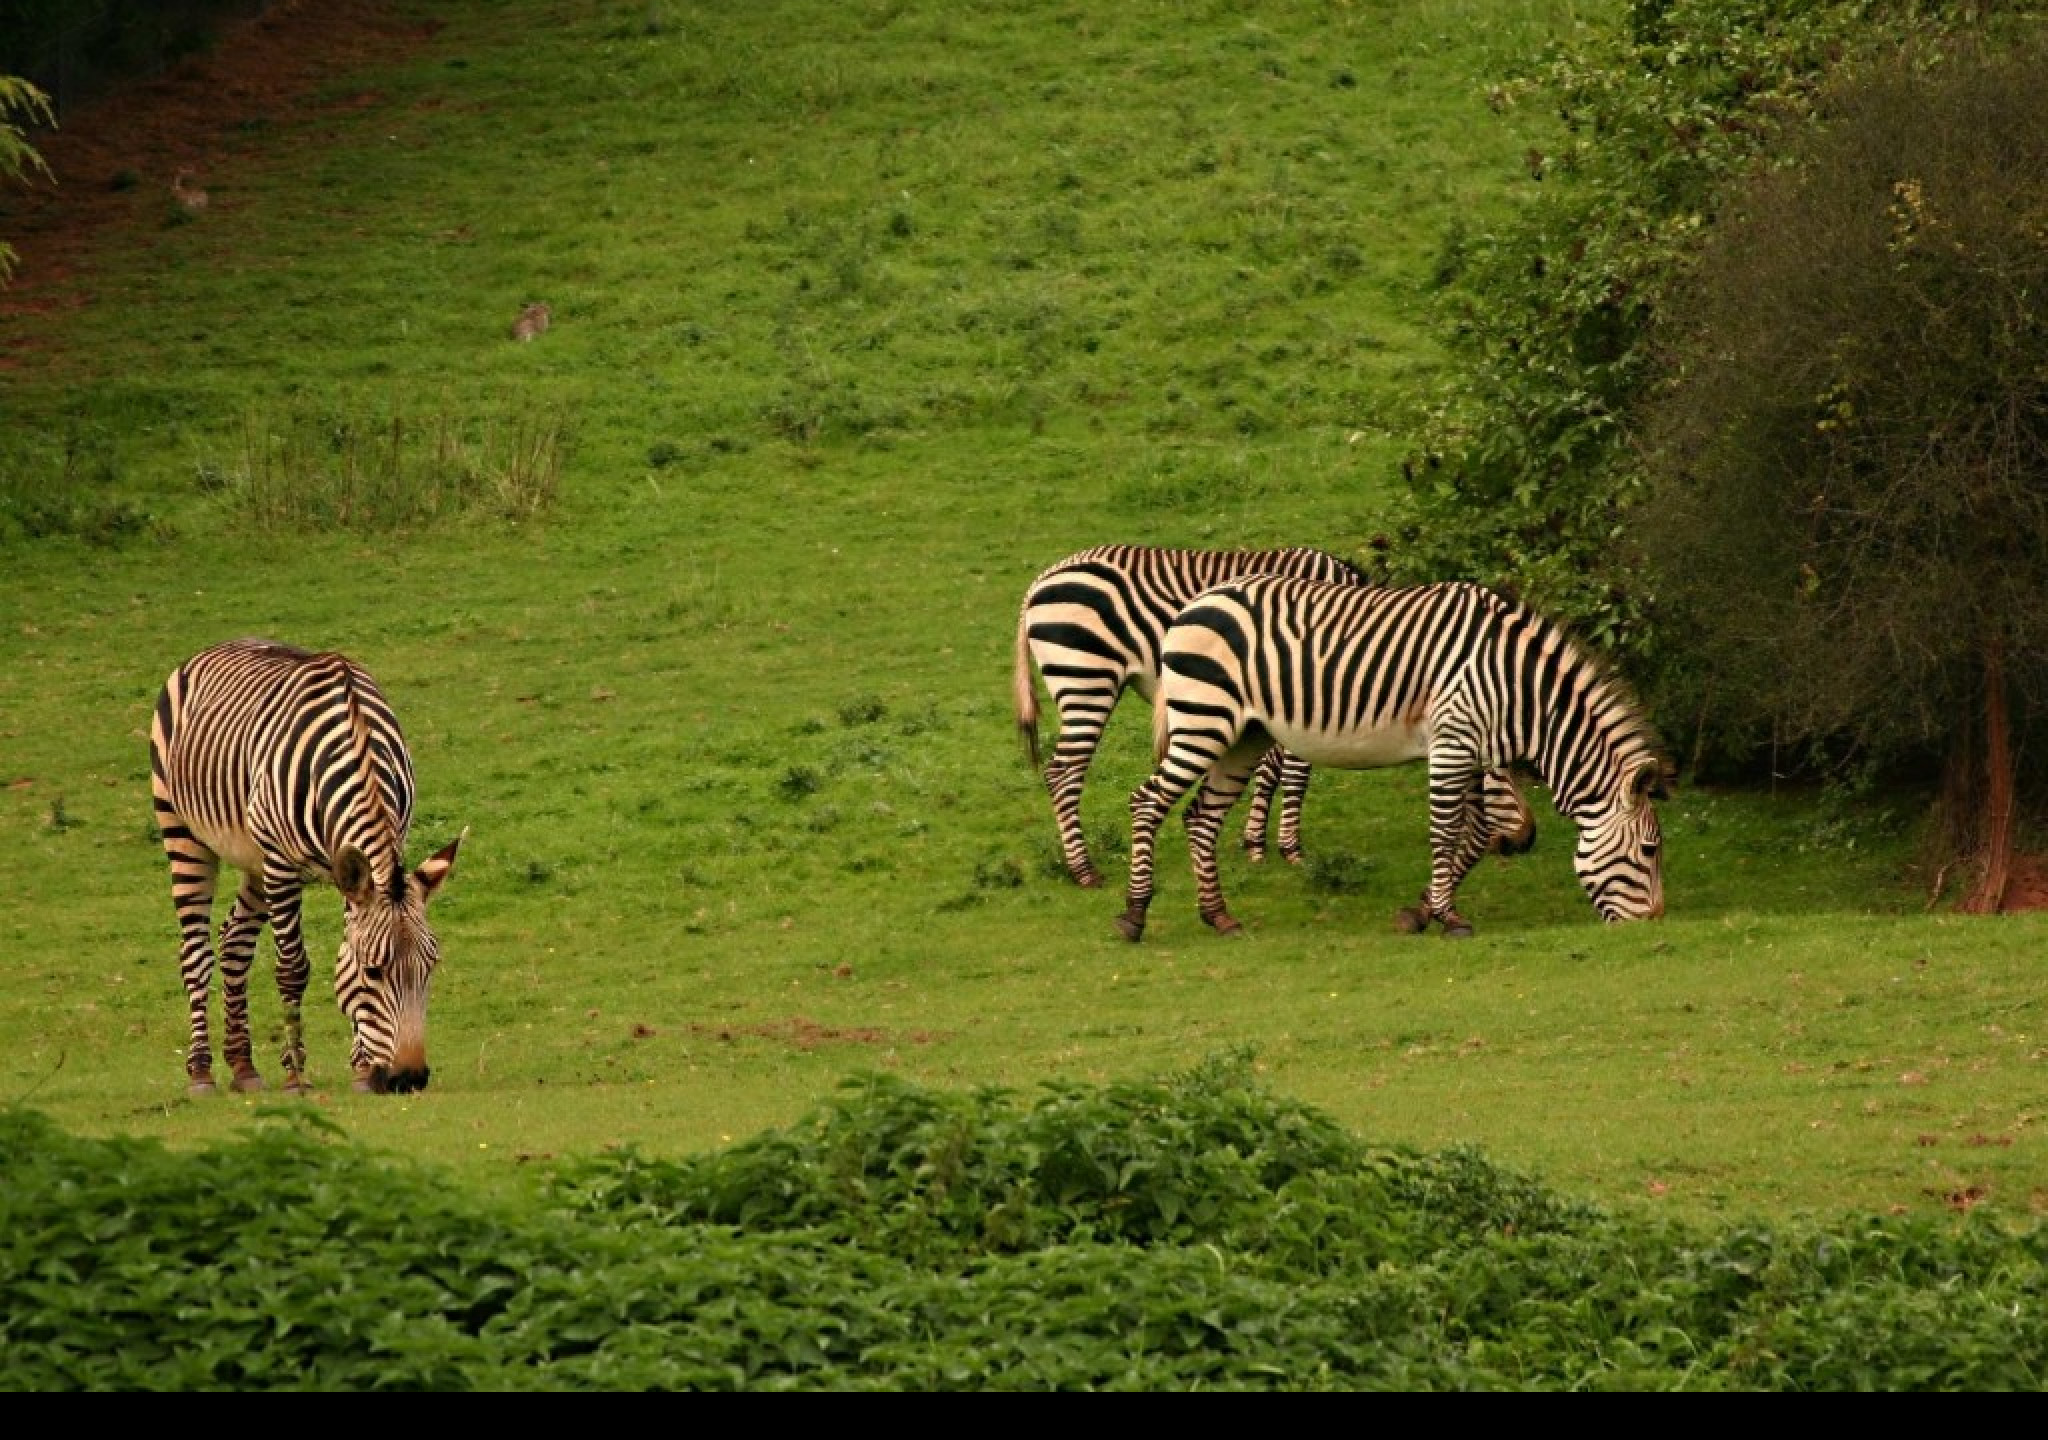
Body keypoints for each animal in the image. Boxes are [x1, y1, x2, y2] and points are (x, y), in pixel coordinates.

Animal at [149, 634, 464, 1097]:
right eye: (374, 972)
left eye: (431, 967)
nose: (409, 1079)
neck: (357, 744)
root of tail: (216, 647)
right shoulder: (282, 864)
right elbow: (292, 969)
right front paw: (296, 1075)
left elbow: (342, 957)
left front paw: (361, 1069)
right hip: (183, 830)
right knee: (196, 954)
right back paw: (201, 1072)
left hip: (254, 858)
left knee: (234, 942)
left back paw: (243, 1067)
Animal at [1015, 544, 1531, 888]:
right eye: (1501, 774)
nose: (1523, 844)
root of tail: (1040, 580)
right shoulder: (1306, 687)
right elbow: (1295, 772)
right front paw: (1288, 848)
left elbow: (1271, 768)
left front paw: (1255, 840)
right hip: (1087, 676)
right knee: (1064, 773)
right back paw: (1084, 870)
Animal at [1114, 577, 1671, 946]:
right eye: (1648, 851)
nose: (1652, 924)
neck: (1519, 687)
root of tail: (1196, 602)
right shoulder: (1451, 743)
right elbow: (1447, 834)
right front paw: (1449, 918)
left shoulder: (1471, 751)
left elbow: (1474, 837)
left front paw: (1421, 912)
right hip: (1205, 720)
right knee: (1147, 802)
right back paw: (1134, 915)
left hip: (1242, 736)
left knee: (1200, 817)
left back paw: (1218, 915)